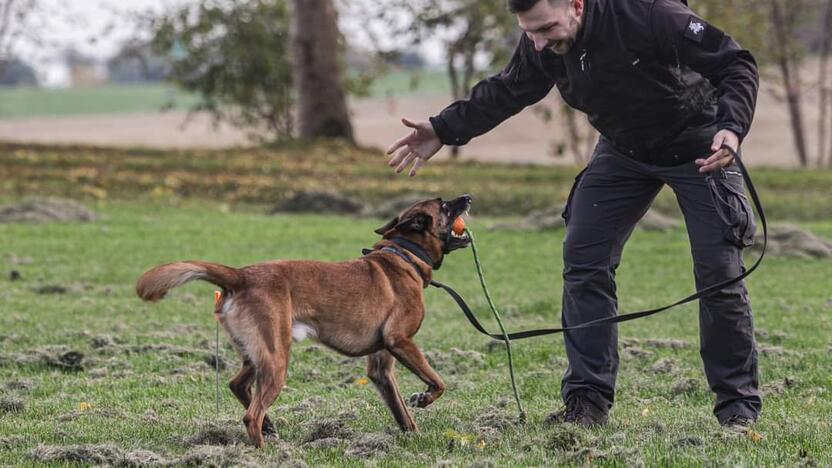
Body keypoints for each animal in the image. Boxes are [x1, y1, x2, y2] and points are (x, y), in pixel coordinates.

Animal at [140, 194, 472, 446]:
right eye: (444, 205)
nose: (468, 197)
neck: (404, 254)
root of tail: (242, 275)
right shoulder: (400, 341)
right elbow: (438, 382)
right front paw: (424, 397)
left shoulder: (381, 366)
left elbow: (402, 413)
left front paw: (413, 437)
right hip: (276, 358)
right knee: (251, 415)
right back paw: (264, 450)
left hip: (258, 354)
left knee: (237, 385)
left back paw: (269, 427)